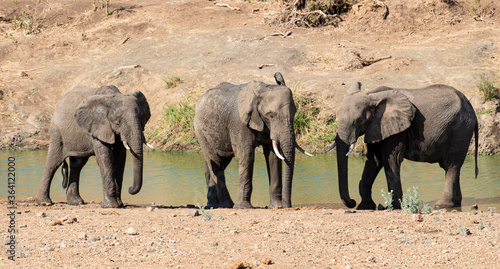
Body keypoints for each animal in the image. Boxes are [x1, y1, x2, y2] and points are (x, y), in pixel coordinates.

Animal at [193, 72, 310, 208]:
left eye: (294, 113)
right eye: (270, 115)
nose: (287, 206)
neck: (263, 89)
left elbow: (273, 158)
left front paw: (275, 206)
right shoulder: (239, 123)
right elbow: (246, 156)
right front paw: (243, 207)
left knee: (218, 162)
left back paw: (213, 204)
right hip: (200, 131)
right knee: (216, 162)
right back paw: (227, 205)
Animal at [326, 81, 478, 209]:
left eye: (360, 120)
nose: (352, 202)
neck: (372, 96)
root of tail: (472, 108)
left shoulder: (398, 130)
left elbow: (390, 160)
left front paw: (395, 207)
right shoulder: (377, 128)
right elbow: (374, 161)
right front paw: (365, 207)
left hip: (461, 129)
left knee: (451, 164)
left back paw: (442, 205)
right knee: (451, 167)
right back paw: (456, 203)